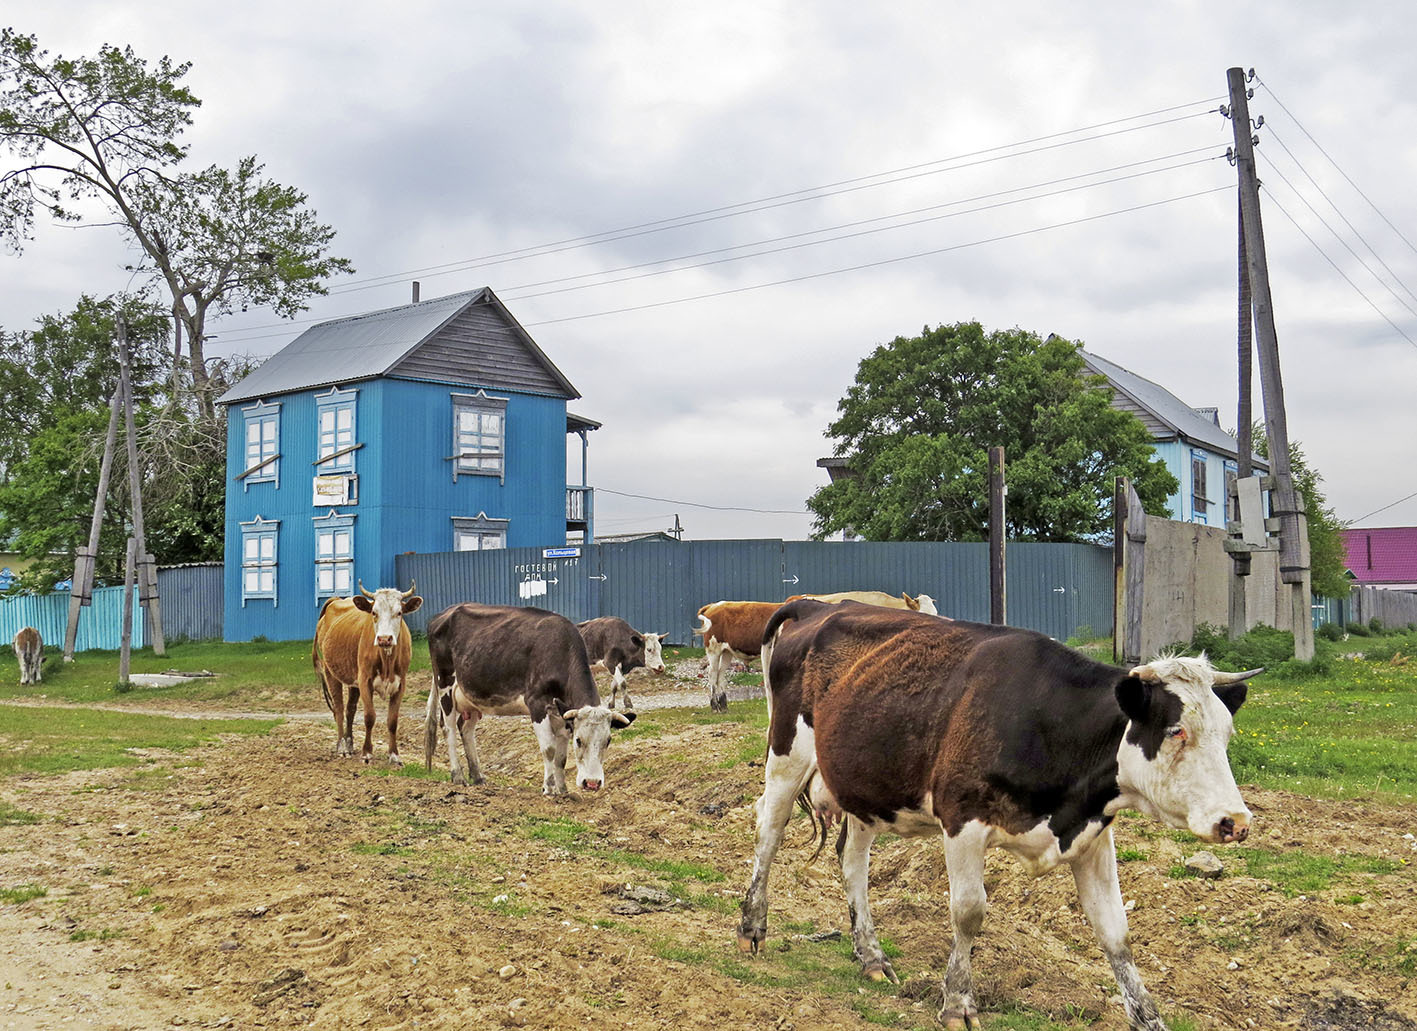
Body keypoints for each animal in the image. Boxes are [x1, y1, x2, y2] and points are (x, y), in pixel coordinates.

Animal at [310, 580, 419, 764]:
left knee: (350, 710)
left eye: (399, 613)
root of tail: (337, 600)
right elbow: (369, 717)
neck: (386, 659)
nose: (384, 639)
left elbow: (393, 721)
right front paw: (367, 753)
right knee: (339, 709)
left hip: (352, 680)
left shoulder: (400, 684)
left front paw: (394, 755)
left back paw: (349, 744)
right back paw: (341, 747)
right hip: (331, 672)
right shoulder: (365, 681)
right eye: (374, 612)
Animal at [419, 603, 637, 798]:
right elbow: (549, 750)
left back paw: (478, 776)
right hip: (445, 683)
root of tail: (443, 614)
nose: (592, 783)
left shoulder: (561, 713)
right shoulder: (537, 704)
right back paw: (458, 776)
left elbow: (561, 758)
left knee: (466, 729)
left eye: (608, 740)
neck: (560, 651)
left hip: (472, 696)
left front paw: (563, 790)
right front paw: (549, 788)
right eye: (578, 740)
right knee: (449, 729)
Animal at [736, 600, 1258, 1025]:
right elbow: (969, 913)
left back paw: (871, 956)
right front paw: (957, 1003)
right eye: (1175, 731)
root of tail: (817, 605)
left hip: (864, 783)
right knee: (769, 831)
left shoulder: (1091, 835)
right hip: (786, 754)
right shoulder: (962, 821)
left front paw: (1148, 1018)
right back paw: (751, 927)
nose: (1236, 822)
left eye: (1228, 733)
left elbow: (1115, 931)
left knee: (852, 860)